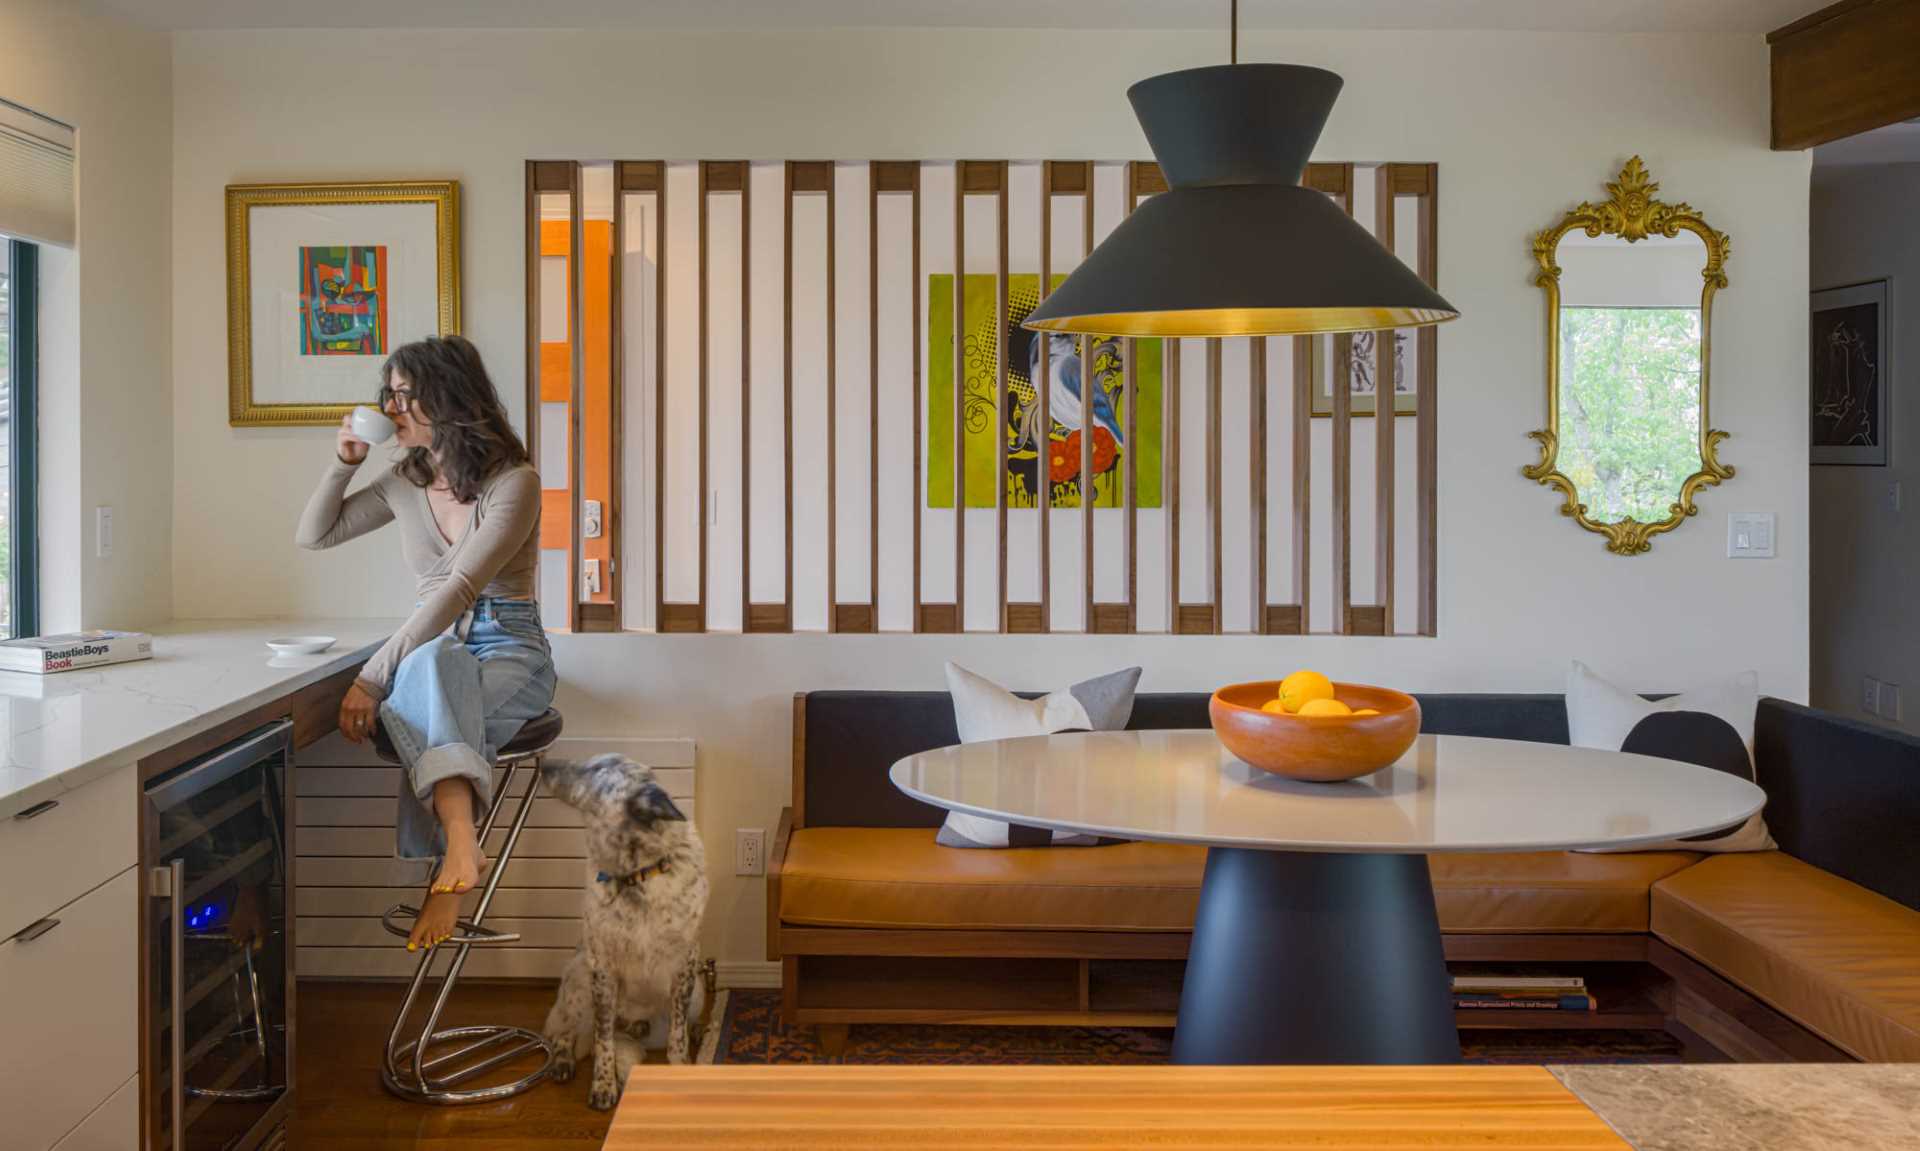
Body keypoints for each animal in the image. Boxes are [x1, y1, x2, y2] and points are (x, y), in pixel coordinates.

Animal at [537, 753, 710, 1114]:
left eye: (595, 769)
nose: (542, 763)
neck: (637, 874)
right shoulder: (602, 968)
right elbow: (603, 1042)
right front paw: (603, 1086)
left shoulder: (685, 964)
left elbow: (678, 1037)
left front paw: (682, 1066)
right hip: (578, 979)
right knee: (568, 1032)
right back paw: (562, 1061)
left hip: (699, 988)